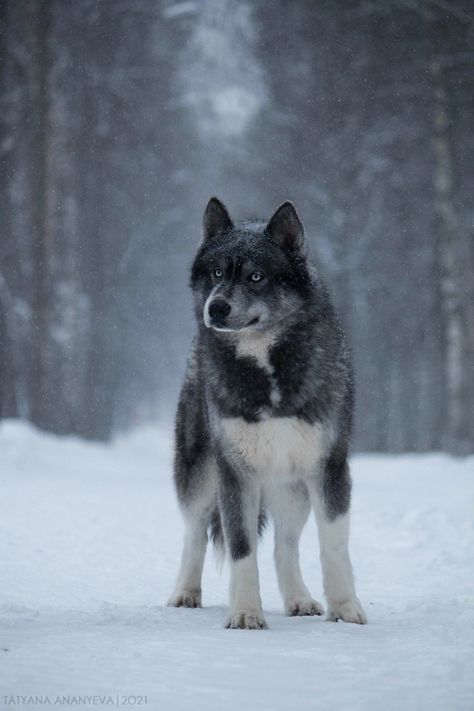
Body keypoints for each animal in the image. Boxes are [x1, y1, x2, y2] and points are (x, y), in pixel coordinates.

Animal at [168, 199, 366, 628]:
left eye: (256, 277)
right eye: (217, 273)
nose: (216, 308)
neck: (265, 363)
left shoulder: (328, 468)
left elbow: (334, 547)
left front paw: (345, 609)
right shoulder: (235, 473)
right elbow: (242, 550)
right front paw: (245, 613)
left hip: (292, 487)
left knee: (284, 546)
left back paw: (300, 600)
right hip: (200, 474)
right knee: (194, 534)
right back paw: (185, 593)